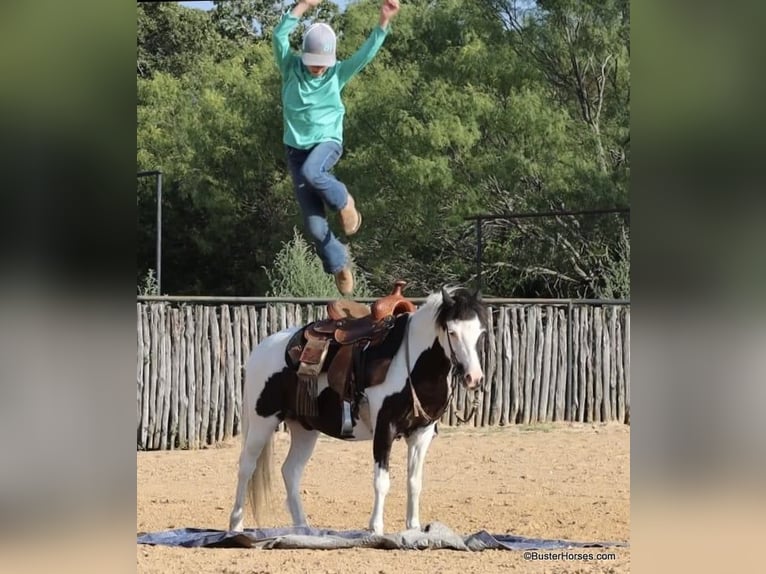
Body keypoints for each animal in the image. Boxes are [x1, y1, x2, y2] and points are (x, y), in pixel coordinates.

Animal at [228, 286, 488, 536]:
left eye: (481, 332)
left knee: (290, 471)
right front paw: (375, 528)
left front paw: (414, 527)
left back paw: (303, 527)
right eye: (452, 331)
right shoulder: (385, 428)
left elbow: (415, 481)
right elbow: (381, 481)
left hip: (304, 428)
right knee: (246, 467)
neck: (412, 366)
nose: (473, 378)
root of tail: (261, 349)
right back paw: (236, 525)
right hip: (262, 421)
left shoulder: (421, 434)